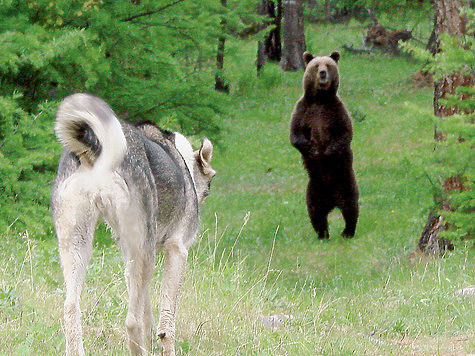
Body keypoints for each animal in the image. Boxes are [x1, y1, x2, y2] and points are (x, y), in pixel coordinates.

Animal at [50, 93, 218, 354]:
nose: (202, 197)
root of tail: (96, 146)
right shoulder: (178, 250)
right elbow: (166, 322)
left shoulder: (129, 256)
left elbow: (148, 312)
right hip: (145, 252)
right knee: (131, 321)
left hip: (78, 243)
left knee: (70, 307)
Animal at [290, 50, 360, 239]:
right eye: (316, 65)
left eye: (328, 65)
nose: (322, 73)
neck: (320, 99)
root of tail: (333, 202)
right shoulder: (304, 110)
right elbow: (295, 135)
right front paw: (314, 151)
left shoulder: (336, 110)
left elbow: (345, 134)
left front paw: (326, 152)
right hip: (314, 187)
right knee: (315, 211)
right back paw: (323, 234)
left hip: (345, 181)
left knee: (351, 207)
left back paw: (347, 231)